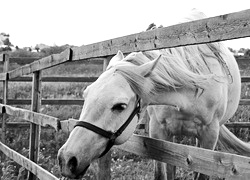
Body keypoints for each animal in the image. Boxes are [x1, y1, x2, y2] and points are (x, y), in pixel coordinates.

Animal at [57, 10, 247, 179]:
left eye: (120, 106)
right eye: (86, 96)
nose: (66, 159)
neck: (188, 97)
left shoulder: (209, 138)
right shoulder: (158, 132)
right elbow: (162, 173)